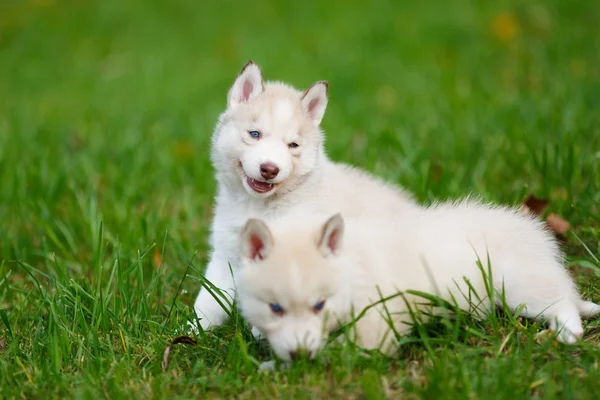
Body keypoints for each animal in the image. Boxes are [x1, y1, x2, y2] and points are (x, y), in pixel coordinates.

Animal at [192, 61, 418, 332]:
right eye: (255, 134)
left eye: (293, 145)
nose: (269, 169)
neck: (257, 207)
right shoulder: (225, 255)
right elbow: (208, 301)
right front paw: (189, 333)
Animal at [237, 202, 596, 360]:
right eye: (275, 308)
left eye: (319, 306)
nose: (299, 355)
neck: (350, 269)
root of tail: (538, 241)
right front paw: (262, 338)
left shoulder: (377, 323)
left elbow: (343, 348)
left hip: (518, 286)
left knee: (560, 301)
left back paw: (568, 332)